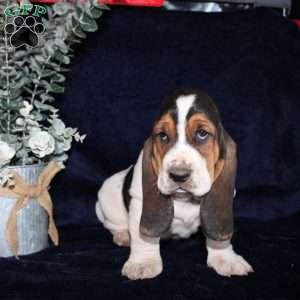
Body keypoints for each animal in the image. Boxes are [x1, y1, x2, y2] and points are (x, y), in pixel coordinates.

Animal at [95, 89, 253, 278]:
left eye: (202, 133)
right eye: (162, 136)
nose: (178, 175)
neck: (184, 199)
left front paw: (225, 258)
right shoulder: (140, 203)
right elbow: (143, 238)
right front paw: (143, 263)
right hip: (107, 199)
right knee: (113, 224)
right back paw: (123, 236)